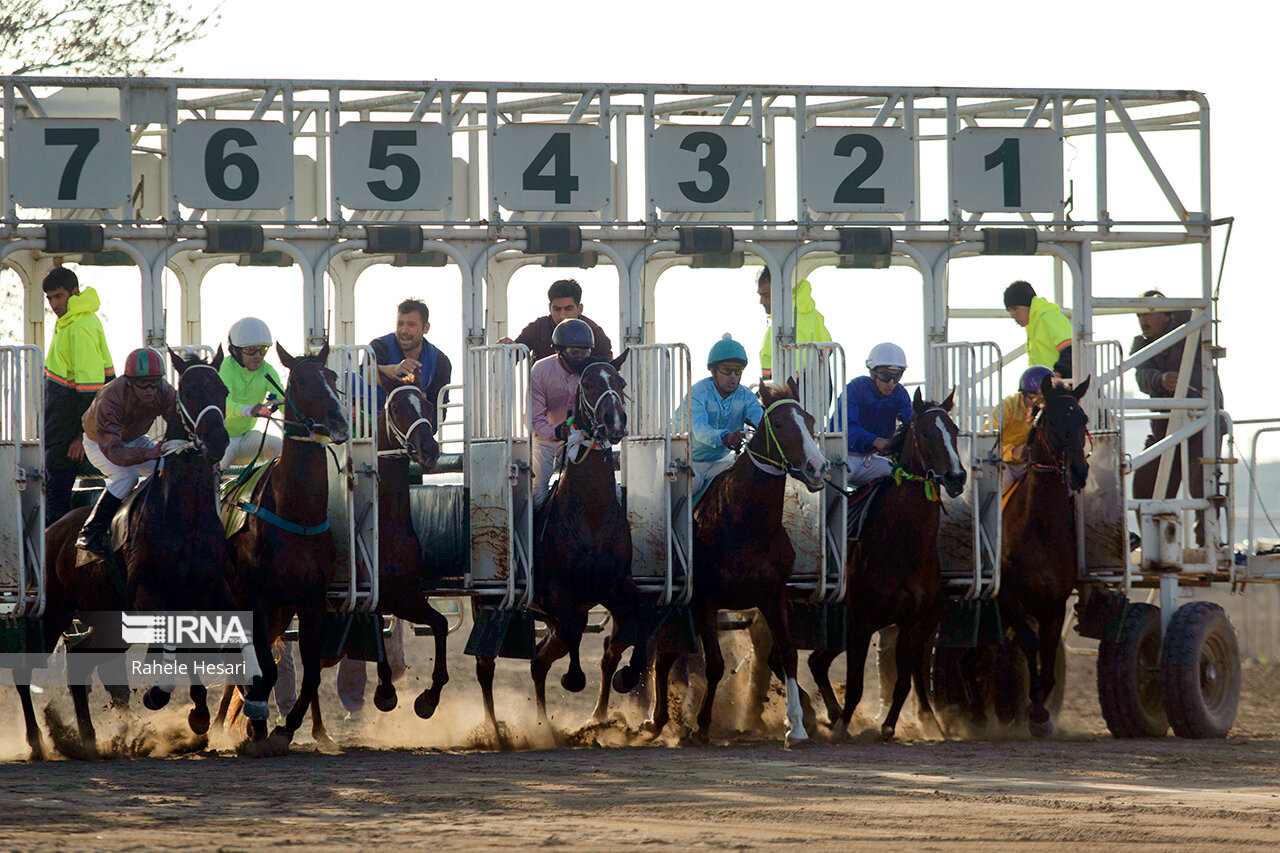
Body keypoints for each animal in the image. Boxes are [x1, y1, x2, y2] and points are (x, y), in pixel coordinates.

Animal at [18, 348, 236, 758]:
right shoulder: (147, 594)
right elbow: (168, 650)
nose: (217, 440)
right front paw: (157, 694)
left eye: (223, 389)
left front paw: (199, 715)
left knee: (80, 665)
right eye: (188, 391)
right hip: (51, 612)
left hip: (105, 617)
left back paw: (87, 739)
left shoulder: (210, 592)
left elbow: (202, 647)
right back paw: (38, 742)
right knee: (24, 671)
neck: (184, 516)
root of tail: (53, 530)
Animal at [222, 343, 348, 742]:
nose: (340, 424)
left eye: (332, 377)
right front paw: (259, 723)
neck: (297, 515)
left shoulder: (311, 600)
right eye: (303, 380)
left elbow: (312, 673)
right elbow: (266, 668)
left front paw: (287, 727)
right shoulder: (256, 598)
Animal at [476, 350, 650, 737]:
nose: (616, 422)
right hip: (491, 607)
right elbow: (576, 638)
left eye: (620, 382)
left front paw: (628, 675)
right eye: (588, 384)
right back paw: (495, 730)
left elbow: (632, 626)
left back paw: (549, 723)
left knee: (539, 663)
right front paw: (573, 678)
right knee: (485, 665)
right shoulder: (558, 595)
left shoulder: (616, 587)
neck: (591, 515)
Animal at [640, 379, 829, 742]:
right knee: (659, 654)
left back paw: (658, 720)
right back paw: (652, 720)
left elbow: (788, 653)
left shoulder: (773, 596)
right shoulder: (704, 601)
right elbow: (714, 664)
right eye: (779, 424)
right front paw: (702, 725)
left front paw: (797, 726)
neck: (744, 524)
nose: (818, 468)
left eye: (811, 421)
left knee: (667, 654)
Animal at [808, 384, 962, 737]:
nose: (957, 477)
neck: (901, 543)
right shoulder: (860, 619)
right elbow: (855, 684)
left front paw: (889, 727)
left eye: (955, 431)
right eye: (926, 432)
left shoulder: (912, 621)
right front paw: (843, 727)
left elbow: (904, 680)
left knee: (817, 661)